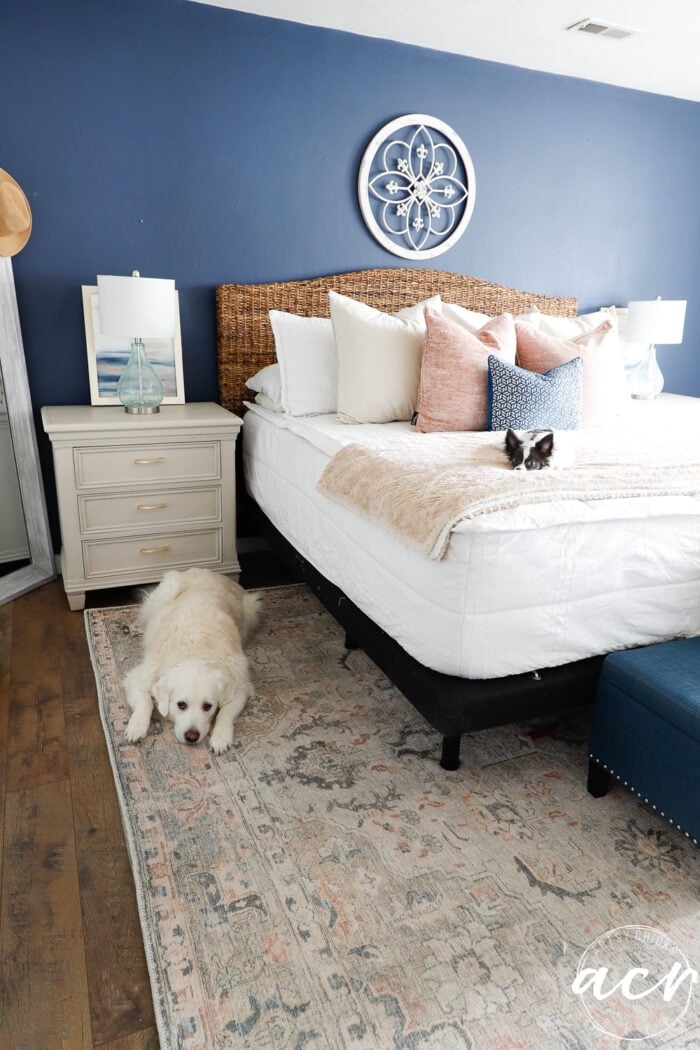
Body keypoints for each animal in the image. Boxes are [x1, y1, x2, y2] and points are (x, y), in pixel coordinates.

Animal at [123, 567, 260, 755]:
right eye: (181, 705)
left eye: (207, 706)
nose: (192, 736)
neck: (195, 655)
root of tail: (207, 570)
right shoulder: (138, 678)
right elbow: (146, 702)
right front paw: (136, 728)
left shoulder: (240, 686)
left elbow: (226, 712)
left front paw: (221, 737)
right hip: (165, 592)